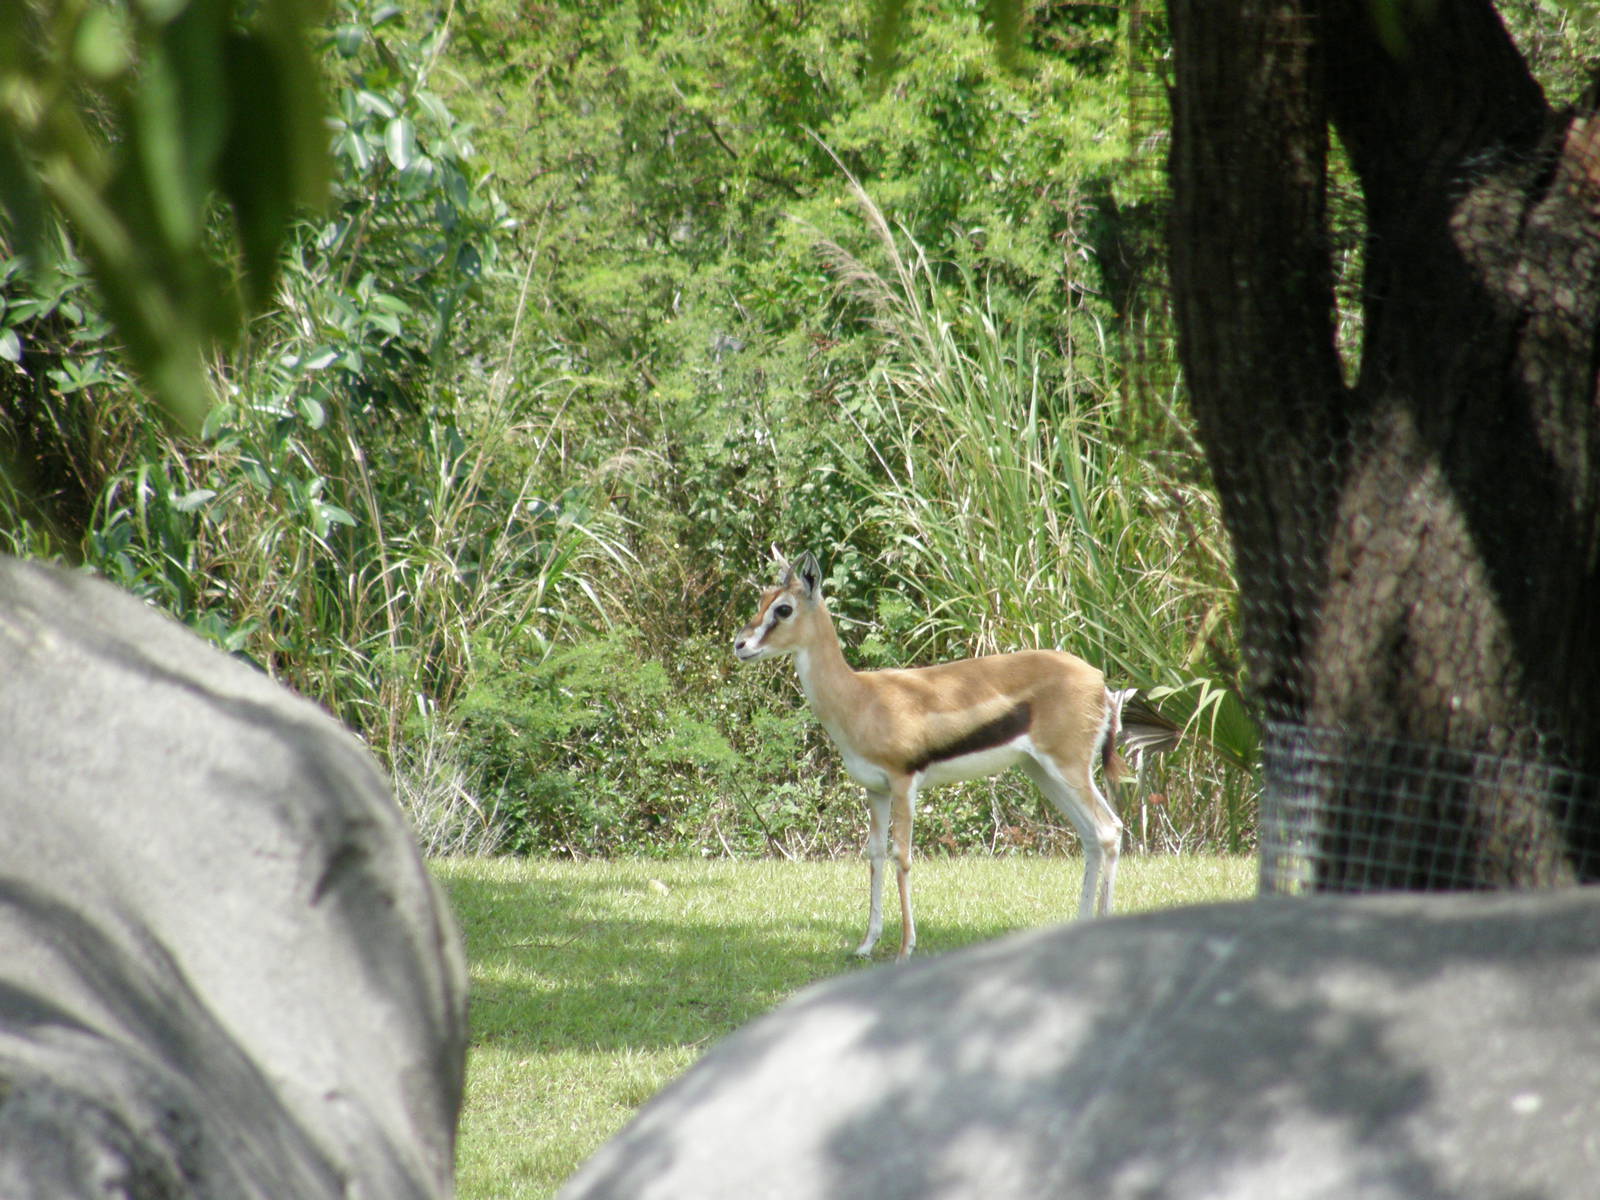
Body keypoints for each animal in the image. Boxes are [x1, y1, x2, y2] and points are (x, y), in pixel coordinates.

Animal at [734, 550, 1128, 961]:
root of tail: (1098, 681)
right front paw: (866, 944)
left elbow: (902, 857)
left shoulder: (904, 782)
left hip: (1068, 768)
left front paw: (906, 948)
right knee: (1091, 835)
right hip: (1043, 772)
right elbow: (874, 855)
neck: (860, 697)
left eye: (783, 608)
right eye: (762, 599)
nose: (740, 645)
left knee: (1109, 829)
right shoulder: (876, 790)